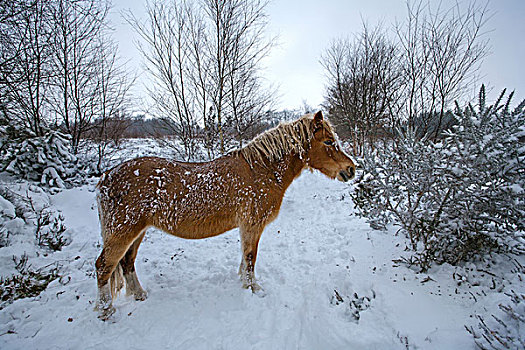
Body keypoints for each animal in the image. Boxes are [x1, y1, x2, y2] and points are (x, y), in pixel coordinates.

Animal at [94, 112, 356, 320]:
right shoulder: (252, 225)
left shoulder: (247, 227)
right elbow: (250, 258)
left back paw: (139, 295)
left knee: (127, 263)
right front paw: (254, 289)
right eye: (329, 141)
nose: (351, 169)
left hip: (138, 232)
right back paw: (106, 312)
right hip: (123, 233)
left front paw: (244, 283)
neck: (261, 170)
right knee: (103, 267)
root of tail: (105, 178)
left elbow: (245, 258)